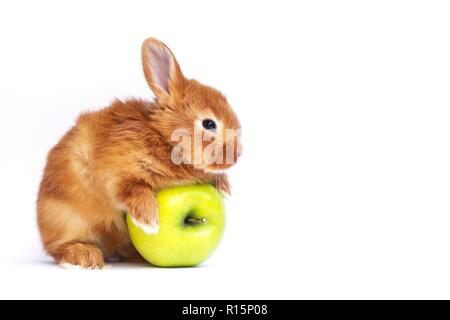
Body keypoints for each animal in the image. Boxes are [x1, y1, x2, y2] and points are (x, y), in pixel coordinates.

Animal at [37, 37, 243, 268]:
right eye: (209, 123)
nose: (237, 155)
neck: (165, 139)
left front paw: (225, 188)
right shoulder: (116, 173)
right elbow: (133, 189)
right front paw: (149, 221)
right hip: (68, 219)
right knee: (60, 247)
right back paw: (85, 256)